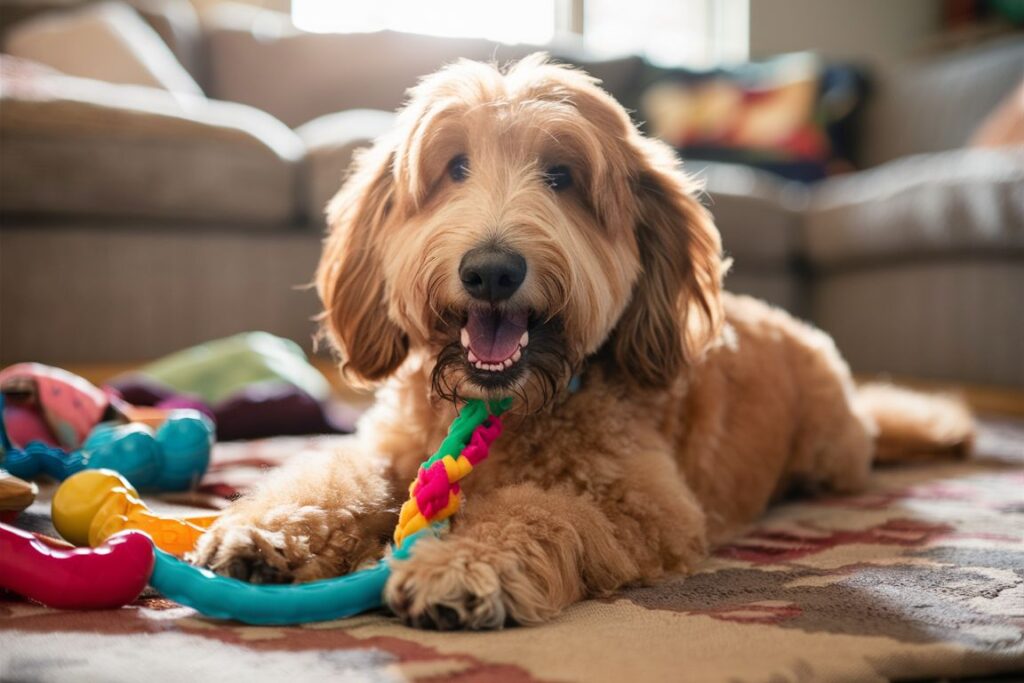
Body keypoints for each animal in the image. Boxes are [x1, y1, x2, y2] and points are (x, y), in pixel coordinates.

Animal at [188, 53, 970, 630]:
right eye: (454, 167)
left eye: (562, 176)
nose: (491, 269)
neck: (509, 408)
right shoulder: (392, 450)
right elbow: (334, 472)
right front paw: (268, 531)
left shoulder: (649, 508)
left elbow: (541, 509)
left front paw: (461, 562)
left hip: (830, 451)